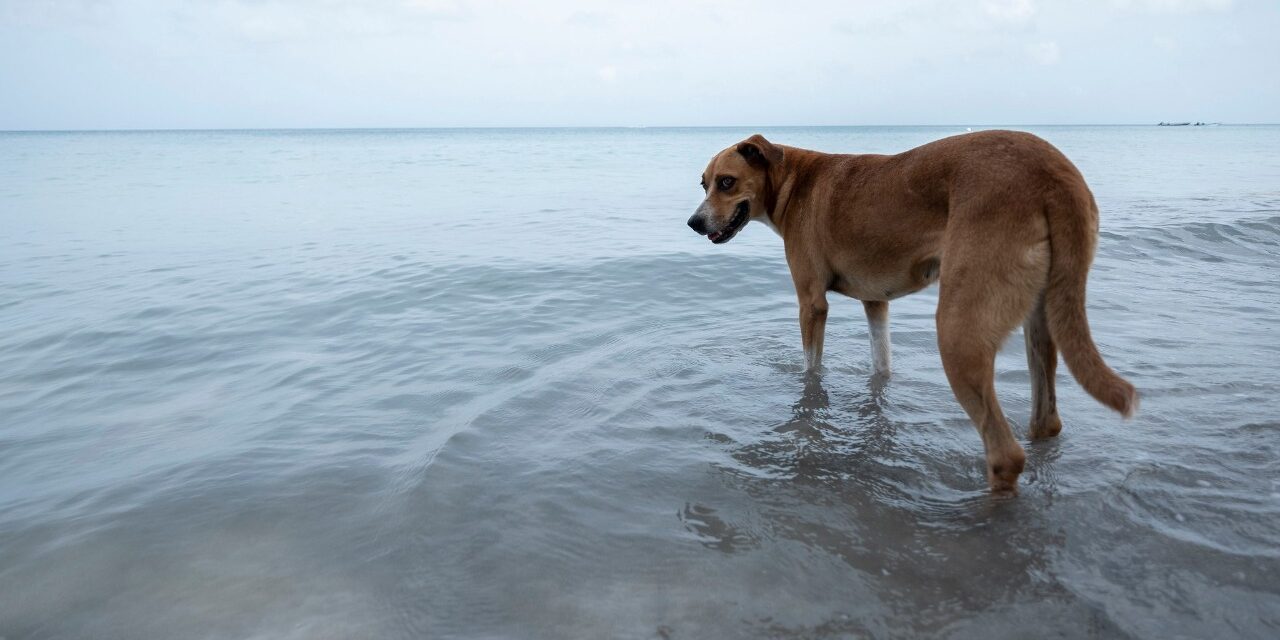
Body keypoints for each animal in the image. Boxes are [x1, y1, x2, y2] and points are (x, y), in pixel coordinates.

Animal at [691, 128, 1141, 488]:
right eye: (703, 183)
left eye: (727, 182)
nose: (694, 223)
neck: (793, 180)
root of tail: (1055, 172)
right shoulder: (876, 303)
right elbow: (881, 364)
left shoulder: (811, 303)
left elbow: (811, 369)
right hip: (1043, 319)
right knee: (1045, 420)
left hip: (958, 329)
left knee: (1005, 454)